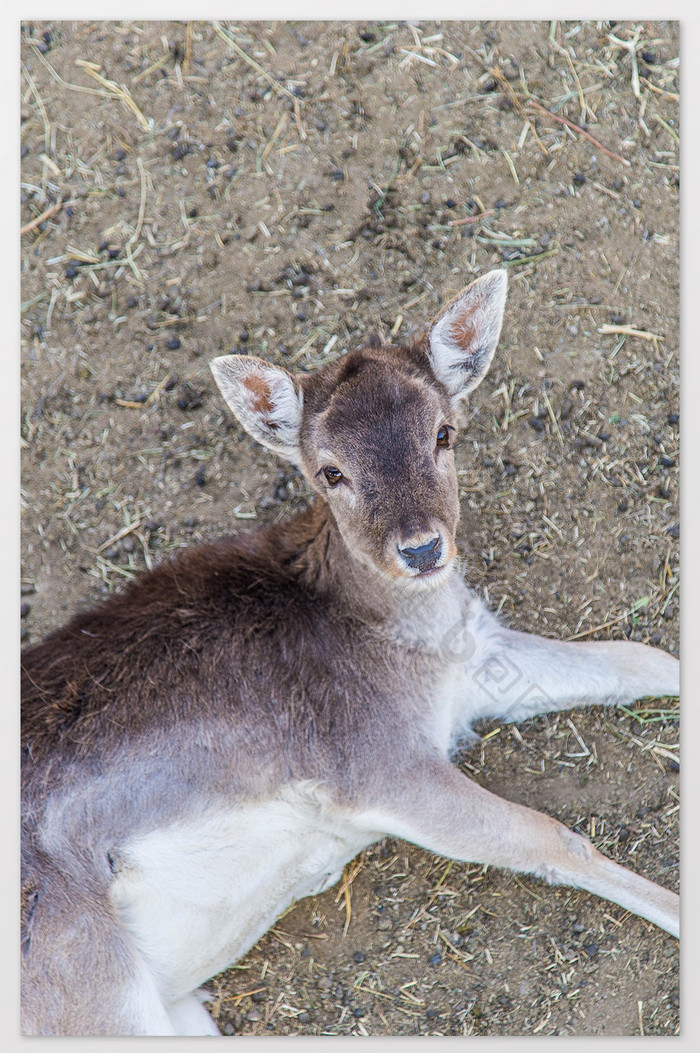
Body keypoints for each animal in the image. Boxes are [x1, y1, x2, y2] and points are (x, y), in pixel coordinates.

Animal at [21, 271, 677, 1036]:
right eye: (329, 472)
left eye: (444, 433)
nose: (421, 549)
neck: (411, 639)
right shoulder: (374, 762)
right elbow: (551, 838)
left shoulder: (477, 661)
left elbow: (638, 659)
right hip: (90, 990)